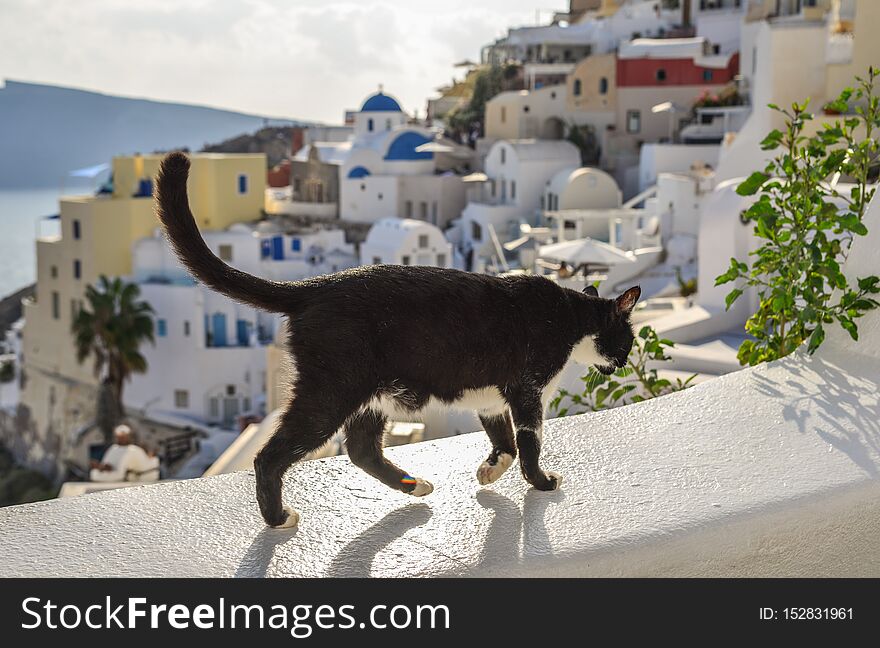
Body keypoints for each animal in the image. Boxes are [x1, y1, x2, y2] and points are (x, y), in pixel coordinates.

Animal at [156, 154, 640, 528]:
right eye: (628, 341)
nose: (622, 362)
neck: (570, 315)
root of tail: (315, 286)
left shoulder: (492, 395)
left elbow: (502, 439)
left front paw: (490, 470)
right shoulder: (527, 389)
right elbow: (529, 442)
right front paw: (540, 481)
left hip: (371, 395)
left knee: (361, 451)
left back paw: (413, 485)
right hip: (331, 391)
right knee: (272, 456)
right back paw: (278, 518)